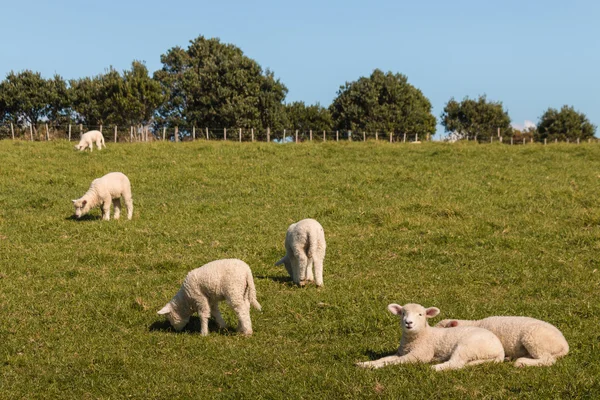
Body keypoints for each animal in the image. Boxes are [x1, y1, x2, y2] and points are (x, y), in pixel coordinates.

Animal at [356, 304, 506, 372]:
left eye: (421, 314)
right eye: (403, 313)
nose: (408, 323)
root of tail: (500, 351)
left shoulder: (420, 354)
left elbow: (397, 361)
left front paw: (376, 367)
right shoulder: (401, 352)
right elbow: (386, 358)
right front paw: (366, 363)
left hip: (468, 346)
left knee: (455, 363)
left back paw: (434, 368)